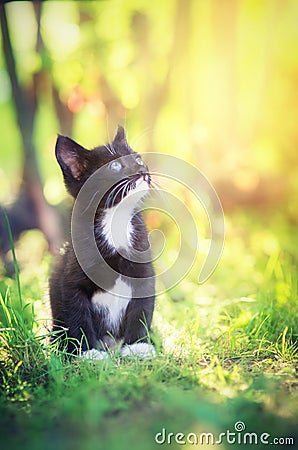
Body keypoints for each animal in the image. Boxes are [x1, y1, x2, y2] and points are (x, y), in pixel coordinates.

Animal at [49, 126, 156, 358]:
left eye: (138, 158)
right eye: (115, 166)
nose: (141, 169)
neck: (116, 222)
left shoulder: (145, 272)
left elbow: (142, 310)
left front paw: (138, 345)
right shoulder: (71, 281)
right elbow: (77, 314)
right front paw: (88, 352)